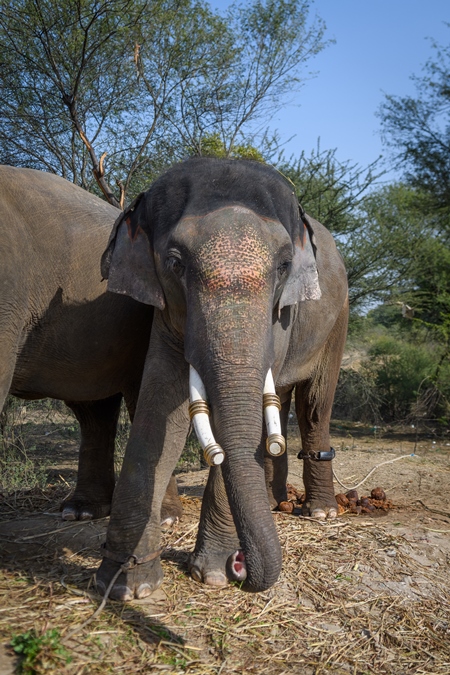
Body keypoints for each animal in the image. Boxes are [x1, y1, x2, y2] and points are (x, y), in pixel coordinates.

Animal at [96, 158, 346, 604]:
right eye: (175, 263)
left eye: (284, 265)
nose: (240, 565)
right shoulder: (166, 309)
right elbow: (161, 408)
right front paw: (126, 586)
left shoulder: (280, 315)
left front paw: (212, 574)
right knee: (280, 402)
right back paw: (274, 501)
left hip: (337, 321)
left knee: (315, 404)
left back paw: (320, 512)